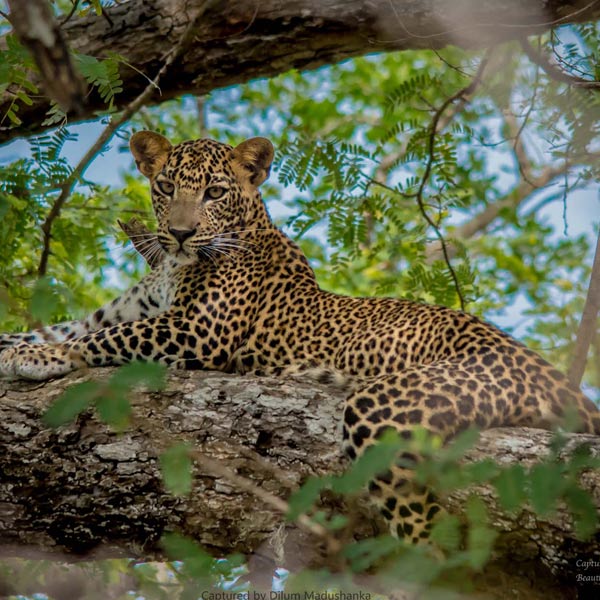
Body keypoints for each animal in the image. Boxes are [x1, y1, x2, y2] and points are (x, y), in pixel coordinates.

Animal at [1, 131, 600, 544]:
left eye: (214, 192)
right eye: (166, 187)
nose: (180, 233)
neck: (173, 267)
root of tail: (555, 378)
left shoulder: (198, 332)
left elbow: (106, 340)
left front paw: (35, 356)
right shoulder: (126, 311)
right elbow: (73, 327)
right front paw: (18, 345)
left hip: (389, 409)